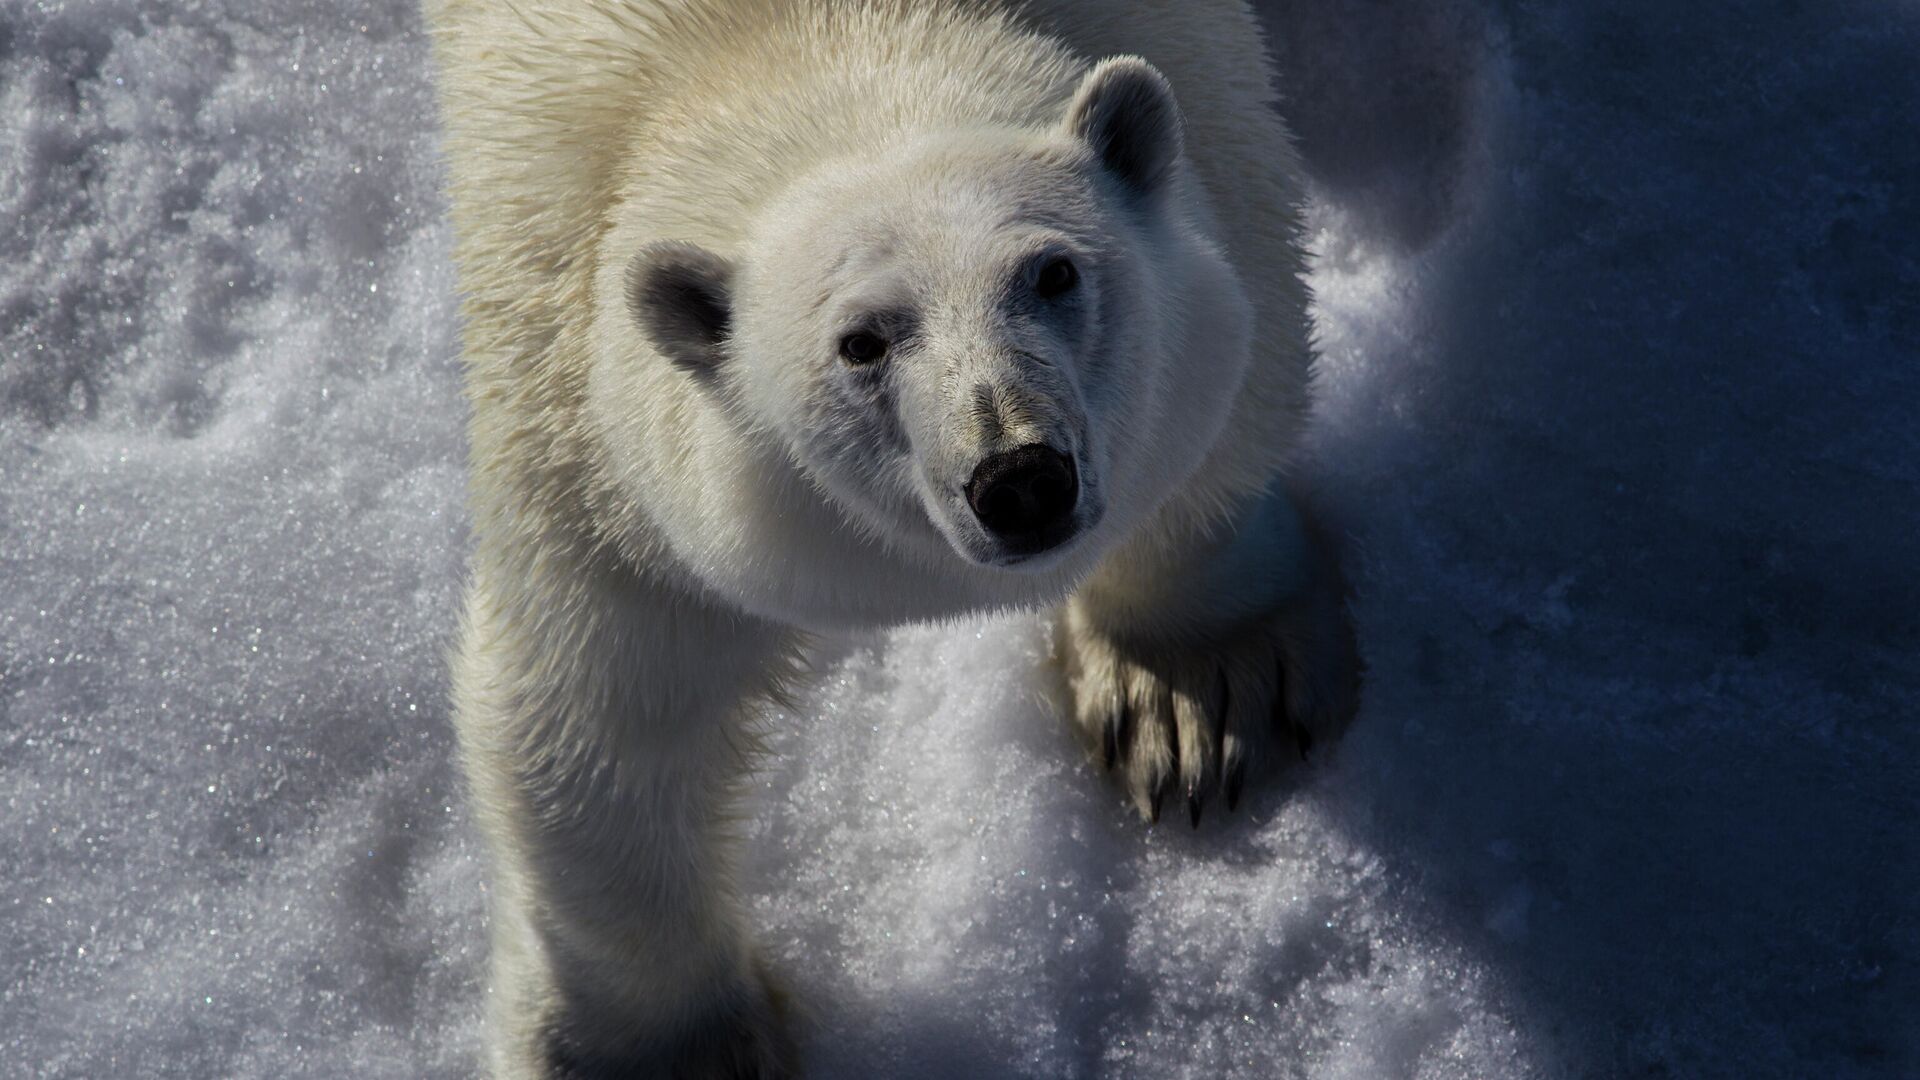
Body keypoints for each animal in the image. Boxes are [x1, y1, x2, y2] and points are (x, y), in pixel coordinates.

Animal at [428, 0, 1359, 1068]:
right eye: (861, 341)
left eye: (1053, 271)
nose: (1019, 478)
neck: (803, 43)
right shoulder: (582, 399)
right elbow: (599, 708)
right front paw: (665, 1052)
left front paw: (1195, 693)